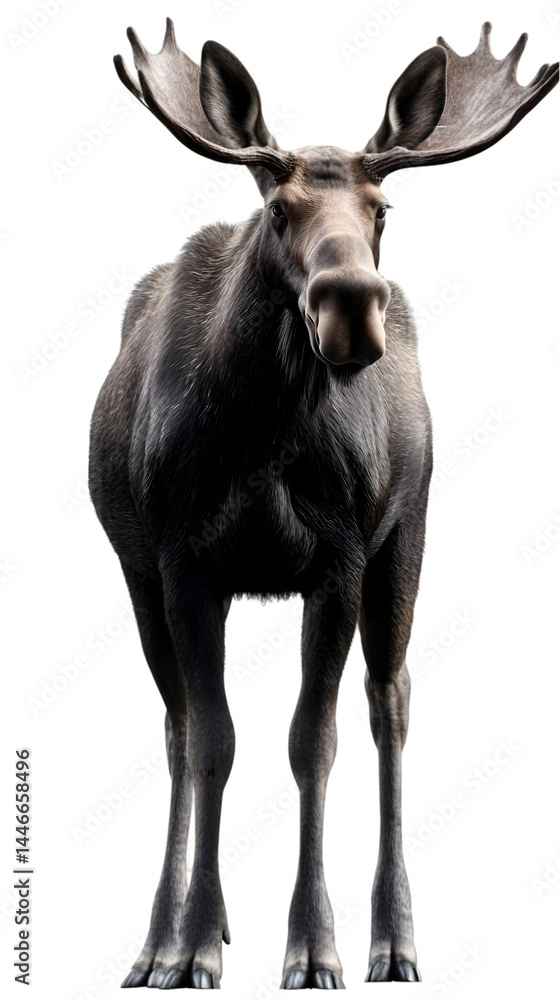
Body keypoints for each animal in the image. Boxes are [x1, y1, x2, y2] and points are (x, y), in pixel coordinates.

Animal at [88, 18, 558, 989]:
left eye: (383, 210)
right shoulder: (180, 558)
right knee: (176, 727)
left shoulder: (340, 556)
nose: (350, 305)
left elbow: (314, 739)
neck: (261, 442)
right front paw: (190, 947)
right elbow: (212, 740)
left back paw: (395, 939)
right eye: (278, 208)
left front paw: (314, 948)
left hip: (408, 535)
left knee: (390, 703)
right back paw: (161, 938)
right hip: (137, 572)